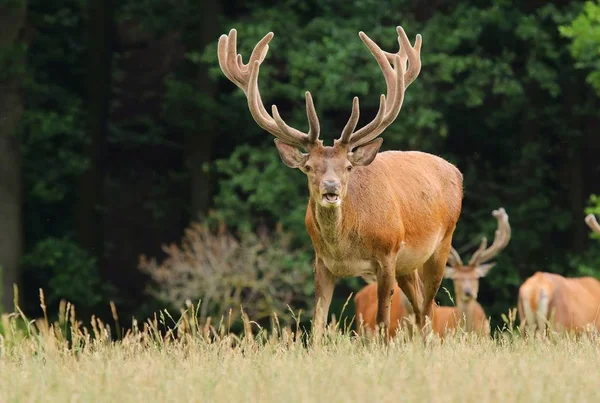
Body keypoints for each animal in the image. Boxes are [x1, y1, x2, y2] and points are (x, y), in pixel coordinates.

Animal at [217, 25, 464, 342]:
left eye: (347, 166)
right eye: (309, 167)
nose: (331, 188)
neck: (345, 247)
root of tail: (455, 171)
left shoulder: (387, 256)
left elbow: (382, 323)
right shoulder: (322, 262)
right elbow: (317, 324)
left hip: (441, 244)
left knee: (428, 308)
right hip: (408, 265)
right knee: (420, 307)